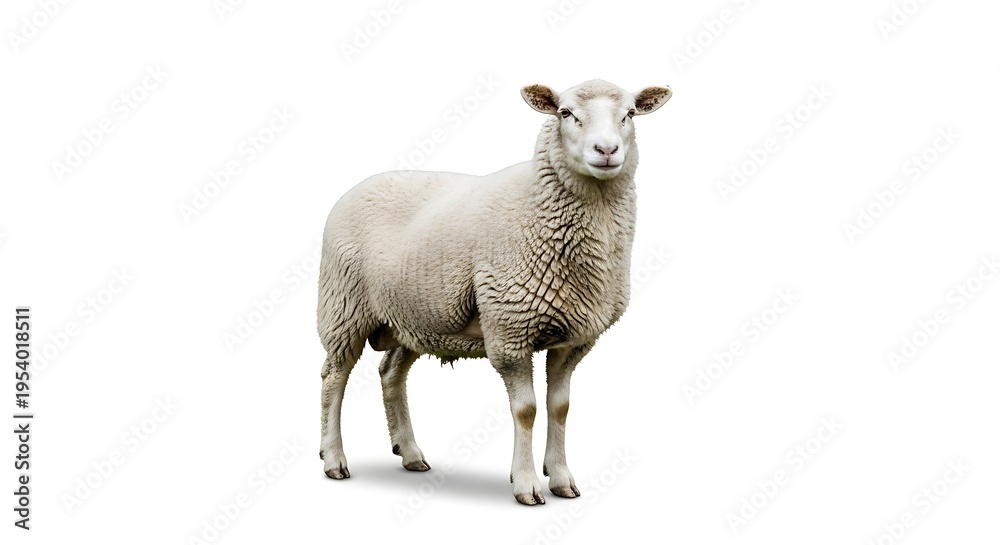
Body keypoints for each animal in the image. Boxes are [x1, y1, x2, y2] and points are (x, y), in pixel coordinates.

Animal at [317, 79, 671, 505]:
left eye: (630, 114)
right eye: (565, 112)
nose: (606, 150)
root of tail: (360, 185)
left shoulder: (573, 338)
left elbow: (560, 407)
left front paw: (561, 477)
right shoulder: (509, 331)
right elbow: (526, 410)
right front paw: (527, 483)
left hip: (412, 316)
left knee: (390, 373)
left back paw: (410, 452)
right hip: (344, 307)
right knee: (334, 378)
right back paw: (333, 458)